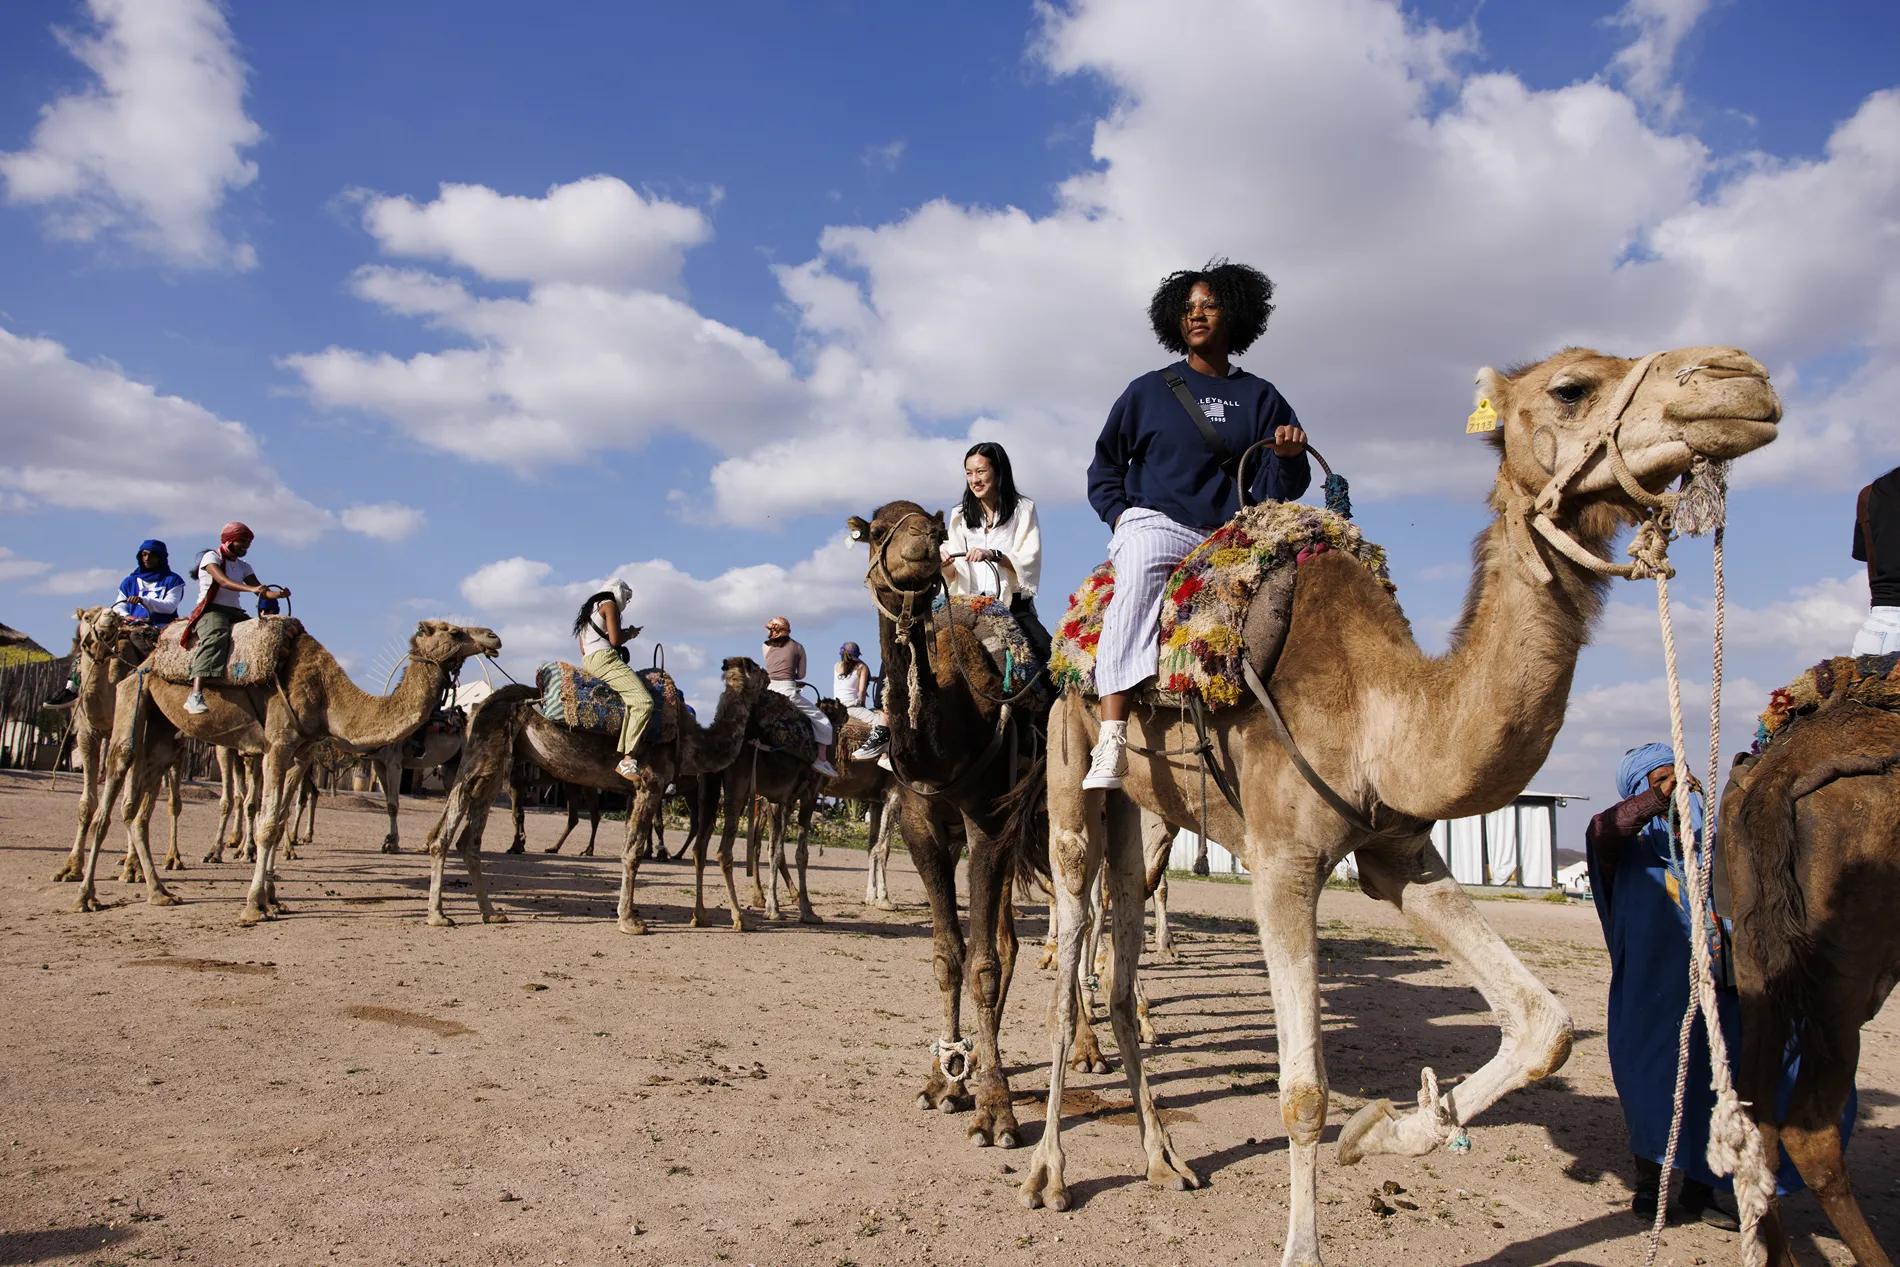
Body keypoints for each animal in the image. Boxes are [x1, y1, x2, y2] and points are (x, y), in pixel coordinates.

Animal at [75, 618, 502, 922]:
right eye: (453, 630)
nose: (493, 636)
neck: (329, 694)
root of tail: (145, 662)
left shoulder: (303, 749)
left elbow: (278, 820)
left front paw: (271, 899)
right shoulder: (279, 743)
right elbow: (267, 824)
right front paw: (253, 905)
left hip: (164, 731)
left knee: (136, 808)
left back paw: (159, 892)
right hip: (136, 699)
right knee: (115, 785)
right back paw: (86, 894)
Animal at [501, 655, 772, 933]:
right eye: (753, 667)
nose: (768, 675)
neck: (692, 740)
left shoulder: (637, 791)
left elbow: (628, 846)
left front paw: (626, 911)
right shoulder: (650, 782)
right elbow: (634, 851)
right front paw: (630, 920)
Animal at [1014, 346, 1782, 1266]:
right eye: (1571, 387)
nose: (1741, 378)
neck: (1379, 705)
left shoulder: (1399, 850)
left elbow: (1546, 1023)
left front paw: (1391, 1129)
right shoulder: (1283, 861)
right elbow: (1303, 1092)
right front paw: (1305, 1245)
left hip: (1145, 806)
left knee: (1126, 950)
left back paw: (1163, 1156)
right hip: (1070, 772)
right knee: (1069, 947)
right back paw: (1049, 1173)